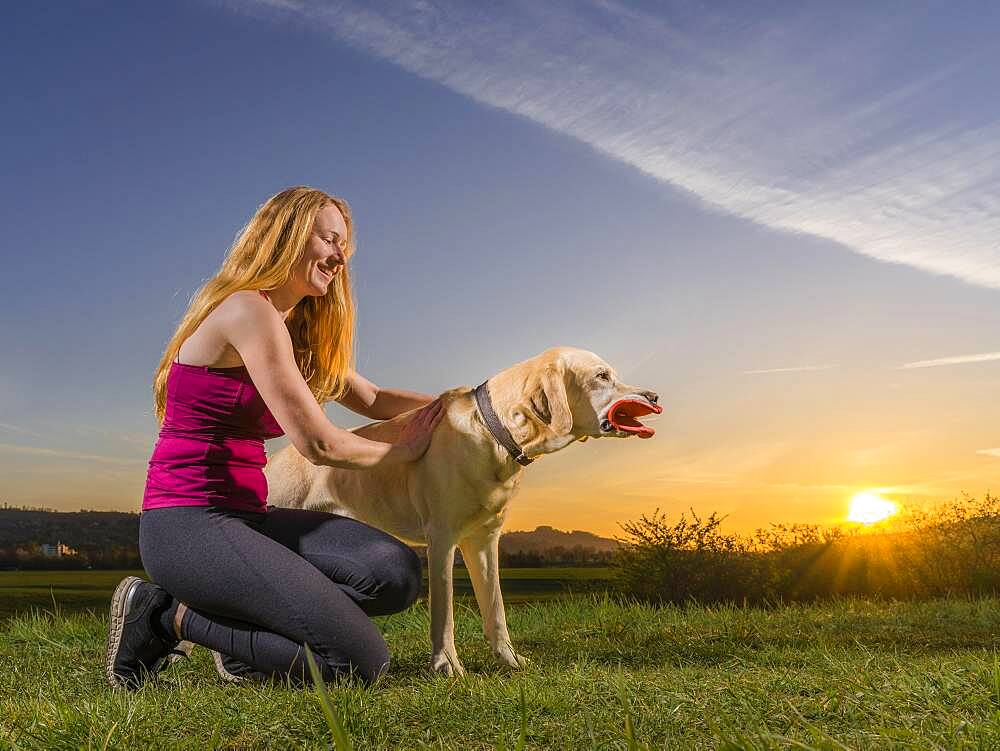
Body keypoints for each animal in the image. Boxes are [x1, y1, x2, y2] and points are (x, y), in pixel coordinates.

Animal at [264, 346, 664, 676]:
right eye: (602, 376)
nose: (655, 396)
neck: (494, 432)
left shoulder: (484, 540)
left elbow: (496, 608)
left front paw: (509, 659)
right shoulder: (442, 539)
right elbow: (444, 611)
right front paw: (446, 665)